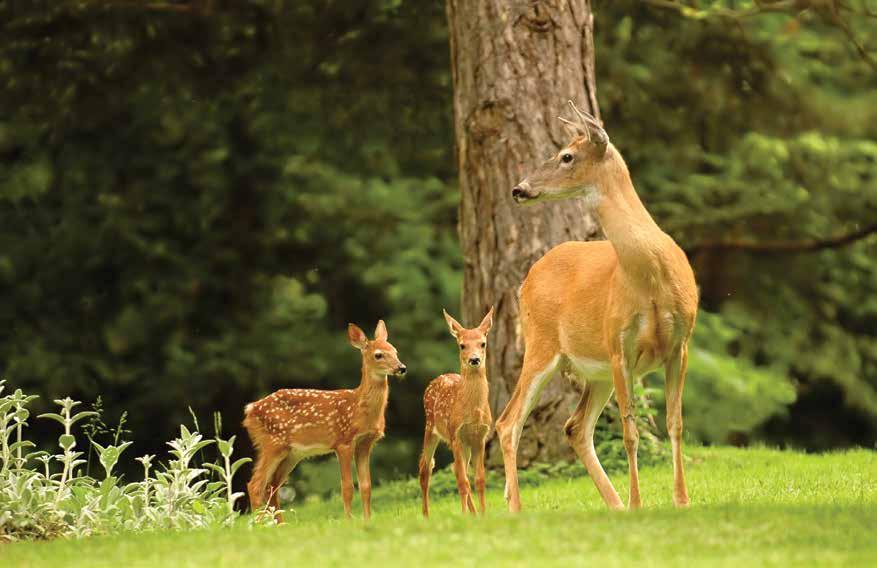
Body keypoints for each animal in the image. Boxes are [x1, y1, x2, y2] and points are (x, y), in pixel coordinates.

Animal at [243, 320, 407, 522]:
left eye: (395, 351)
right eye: (378, 355)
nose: (401, 368)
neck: (359, 408)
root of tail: (250, 409)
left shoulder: (365, 443)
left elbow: (366, 487)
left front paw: (367, 520)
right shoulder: (343, 442)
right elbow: (347, 487)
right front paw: (349, 521)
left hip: (291, 453)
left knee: (271, 486)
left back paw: (280, 524)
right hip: (272, 444)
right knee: (255, 485)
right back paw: (260, 524)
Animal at [419, 307, 494, 518]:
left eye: (483, 343)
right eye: (462, 345)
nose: (474, 359)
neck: (473, 410)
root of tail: (438, 378)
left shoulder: (480, 437)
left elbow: (479, 479)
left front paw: (483, 515)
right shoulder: (456, 435)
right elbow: (463, 482)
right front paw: (463, 515)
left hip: (464, 443)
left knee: (456, 470)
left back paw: (473, 513)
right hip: (431, 428)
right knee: (425, 468)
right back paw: (426, 516)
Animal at [495, 101, 698, 513]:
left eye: (566, 156)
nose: (518, 188)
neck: (651, 277)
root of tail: (527, 279)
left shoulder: (680, 345)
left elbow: (675, 423)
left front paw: (682, 500)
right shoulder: (619, 344)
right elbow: (630, 430)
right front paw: (638, 503)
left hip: (595, 371)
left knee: (575, 427)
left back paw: (614, 505)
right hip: (542, 346)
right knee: (508, 423)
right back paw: (517, 508)